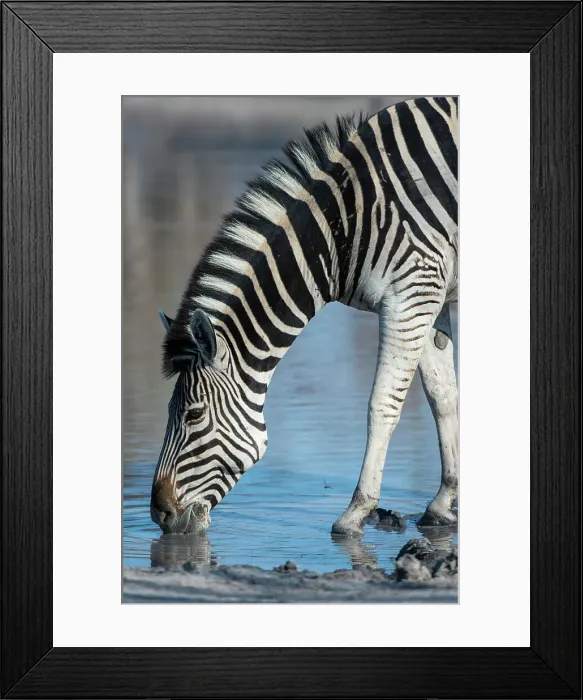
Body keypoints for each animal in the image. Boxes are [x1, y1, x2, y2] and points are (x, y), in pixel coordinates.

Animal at [150, 96, 458, 537]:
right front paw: (443, 502)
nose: (158, 514)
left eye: (193, 415)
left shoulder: (412, 292)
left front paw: (356, 511)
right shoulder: (429, 297)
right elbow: (443, 397)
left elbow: (382, 404)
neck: (344, 227)